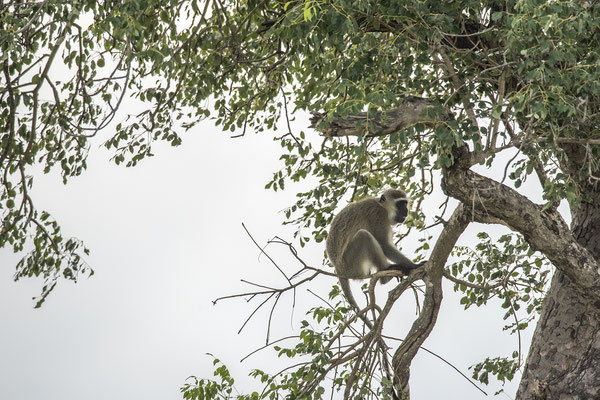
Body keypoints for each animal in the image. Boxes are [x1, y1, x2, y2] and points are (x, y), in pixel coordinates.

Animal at [326, 189, 424, 324]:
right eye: (400, 204)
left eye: (405, 203)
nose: (406, 211)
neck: (382, 206)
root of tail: (337, 267)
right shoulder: (378, 215)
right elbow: (384, 244)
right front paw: (414, 266)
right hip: (350, 264)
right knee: (364, 235)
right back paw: (386, 273)